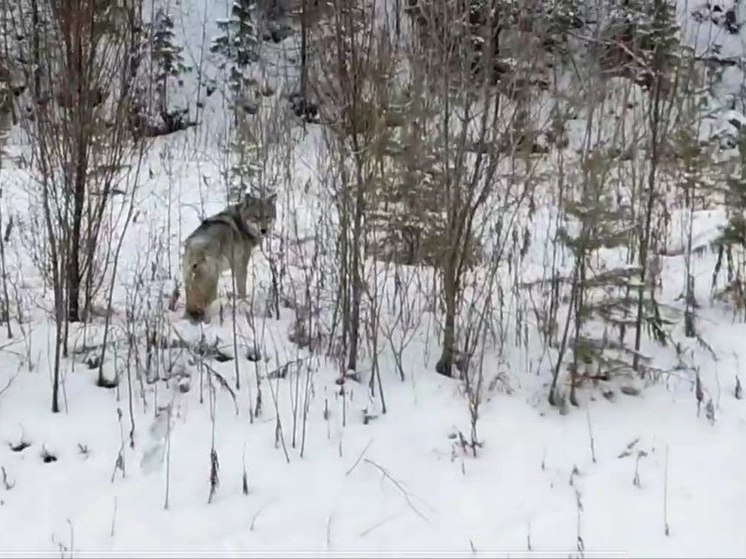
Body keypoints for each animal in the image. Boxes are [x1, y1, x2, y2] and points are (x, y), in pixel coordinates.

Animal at [181, 194, 276, 322]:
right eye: (256, 217)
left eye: (267, 217)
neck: (241, 223)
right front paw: (243, 304)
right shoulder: (241, 266)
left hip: (191, 288)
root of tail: (195, 249)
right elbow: (242, 291)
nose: (264, 230)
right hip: (211, 288)